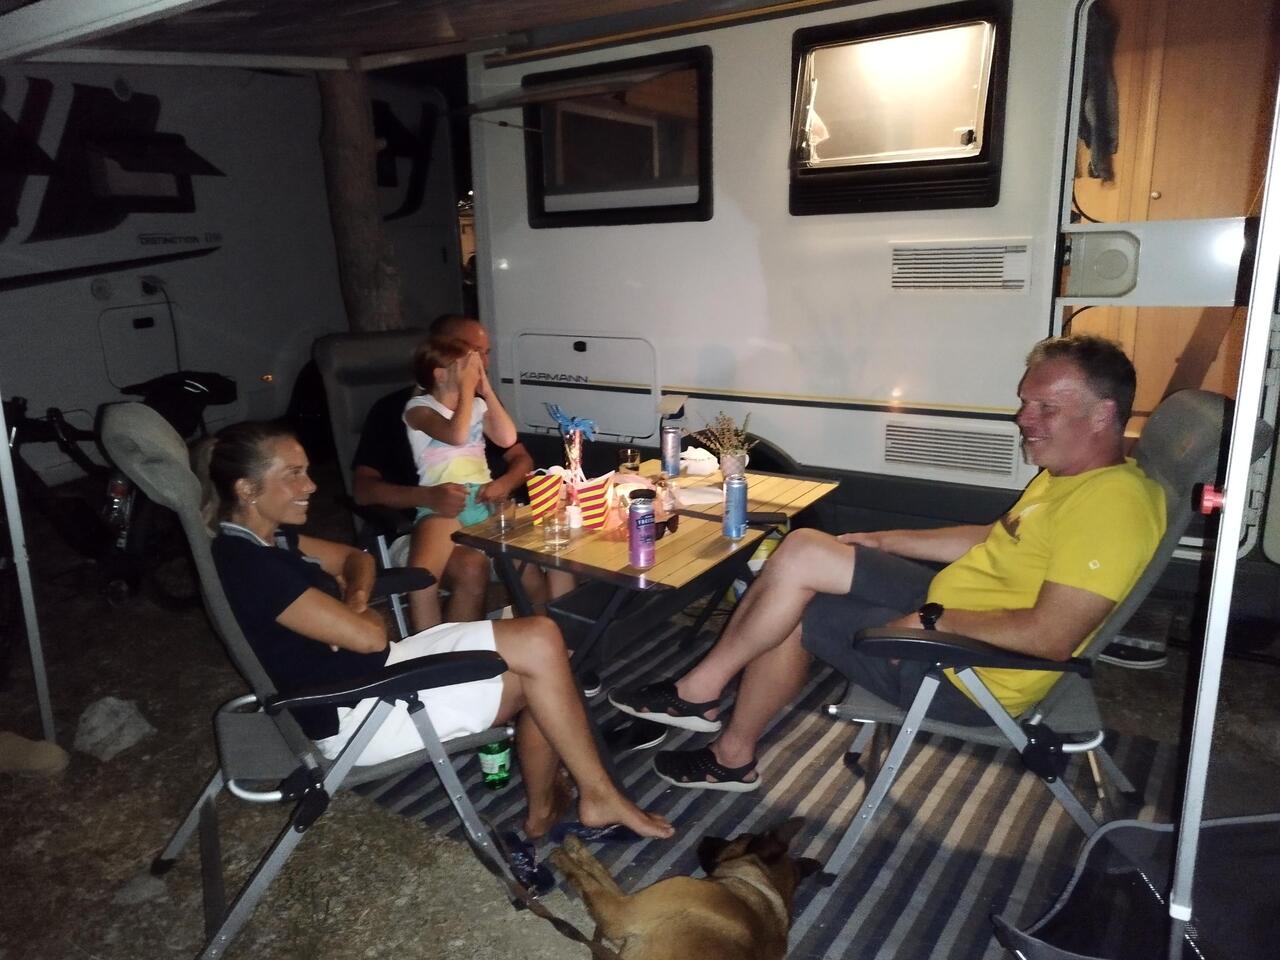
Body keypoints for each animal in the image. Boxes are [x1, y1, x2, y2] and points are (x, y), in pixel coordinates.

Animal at [549, 818, 825, 960]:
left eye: (738, 837)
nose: (706, 837)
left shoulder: (620, 914)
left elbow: (587, 881)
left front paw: (563, 857)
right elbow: (600, 873)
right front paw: (577, 849)